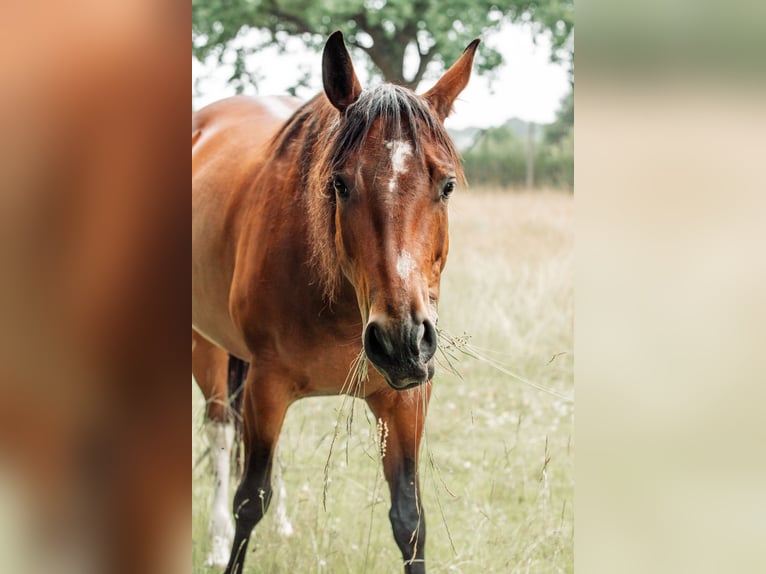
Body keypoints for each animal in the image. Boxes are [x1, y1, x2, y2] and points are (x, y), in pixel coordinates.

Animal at [192, 32, 476, 574]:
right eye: (340, 183)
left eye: (447, 185)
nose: (401, 343)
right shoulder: (267, 385)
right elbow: (248, 500)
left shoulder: (406, 401)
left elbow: (409, 519)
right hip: (208, 350)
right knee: (220, 435)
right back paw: (212, 541)